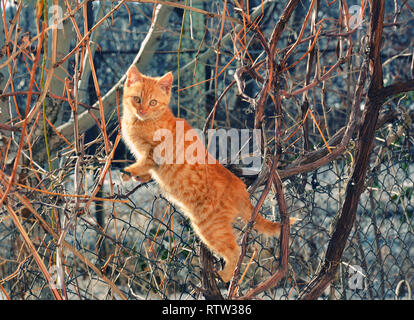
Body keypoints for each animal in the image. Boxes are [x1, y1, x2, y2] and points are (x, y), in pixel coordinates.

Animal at [121, 66, 296, 282]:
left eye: (153, 102)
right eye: (137, 99)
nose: (142, 110)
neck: (139, 122)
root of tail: (240, 189)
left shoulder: (157, 151)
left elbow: (146, 161)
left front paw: (132, 170)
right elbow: (148, 168)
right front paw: (140, 175)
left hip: (209, 227)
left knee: (235, 250)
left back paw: (226, 276)